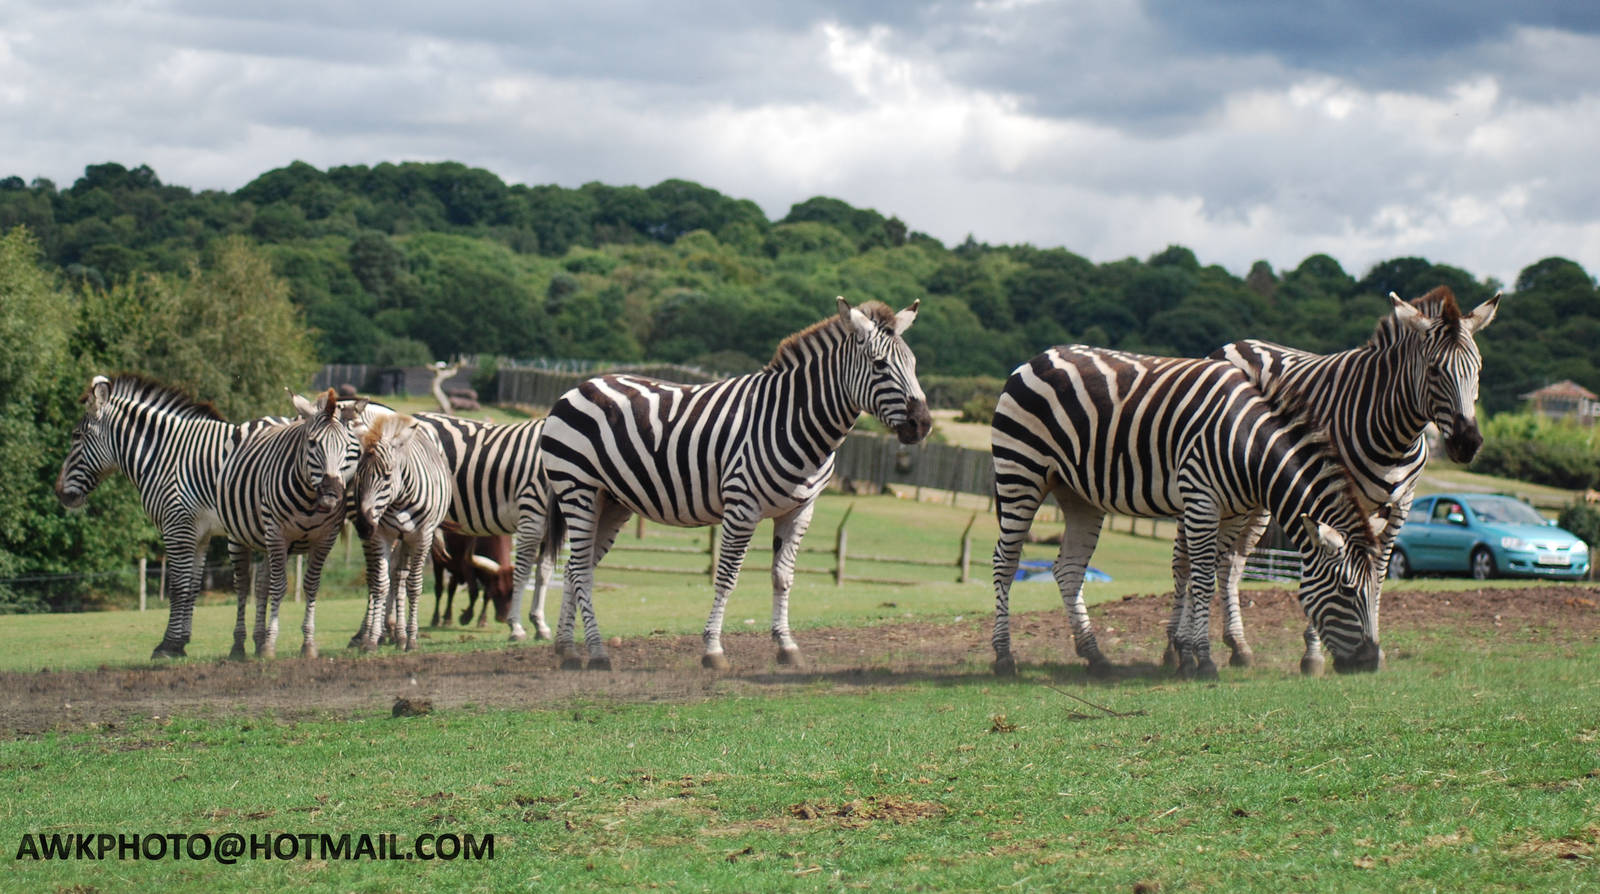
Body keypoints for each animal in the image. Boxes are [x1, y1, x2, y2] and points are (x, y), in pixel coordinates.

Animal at [215, 388, 358, 659]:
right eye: (312, 443)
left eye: (346, 446)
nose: (332, 496)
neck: (310, 500)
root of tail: (267, 419)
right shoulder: (277, 534)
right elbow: (279, 586)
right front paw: (270, 644)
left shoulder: (326, 538)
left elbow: (311, 586)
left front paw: (308, 644)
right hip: (238, 536)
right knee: (243, 585)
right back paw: (239, 646)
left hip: (264, 542)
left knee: (261, 583)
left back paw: (257, 640)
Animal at [350, 414, 454, 652]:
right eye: (359, 476)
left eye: (387, 476)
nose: (363, 526)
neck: (399, 500)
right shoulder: (383, 535)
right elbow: (381, 583)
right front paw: (371, 640)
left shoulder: (422, 536)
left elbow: (414, 586)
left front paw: (413, 640)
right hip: (400, 538)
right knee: (397, 577)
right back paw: (397, 635)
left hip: (410, 539)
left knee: (403, 578)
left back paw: (403, 636)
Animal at [541, 297, 933, 670]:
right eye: (879, 365)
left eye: (914, 365)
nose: (923, 424)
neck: (791, 419)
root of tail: (581, 385)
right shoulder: (743, 506)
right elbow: (727, 577)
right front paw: (713, 649)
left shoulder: (799, 510)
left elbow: (782, 577)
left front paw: (786, 646)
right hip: (578, 489)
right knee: (581, 570)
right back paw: (596, 652)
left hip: (612, 501)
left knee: (576, 568)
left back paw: (567, 649)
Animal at [989, 345, 1385, 679]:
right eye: (1348, 590)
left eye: (1373, 590)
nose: (1369, 663)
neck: (1249, 447)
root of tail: (1037, 357)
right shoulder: (1201, 499)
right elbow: (1203, 577)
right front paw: (1203, 660)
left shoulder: (1231, 512)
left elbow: (1201, 576)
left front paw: (1188, 654)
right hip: (1020, 471)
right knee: (1005, 561)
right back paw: (1004, 657)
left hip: (1077, 493)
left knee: (1069, 570)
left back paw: (1095, 656)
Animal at [1189, 285, 1501, 674]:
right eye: (1433, 369)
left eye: (1479, 369)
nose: (1467, 443)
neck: (1396, 433)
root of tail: (1236, 343)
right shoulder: (1333, 492)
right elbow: (1333, 565)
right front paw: (1314, 655)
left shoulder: (1401, 505)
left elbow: (1377, 572)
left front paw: (1374, 645)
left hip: (1256, 494)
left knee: (1231, 561)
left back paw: (1238, 645)